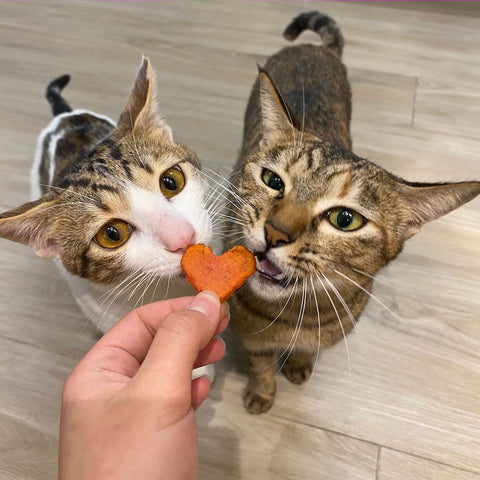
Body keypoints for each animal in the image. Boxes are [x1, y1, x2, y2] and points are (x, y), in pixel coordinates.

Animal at [225, 13, 480, 414]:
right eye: (272, 180)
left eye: (345, 220)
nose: (274, 232)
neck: (293, 315)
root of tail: (317, 48)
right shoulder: (252, 341)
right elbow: (262, 367)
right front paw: (262, 393)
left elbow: (304, 352)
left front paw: (297, 365)